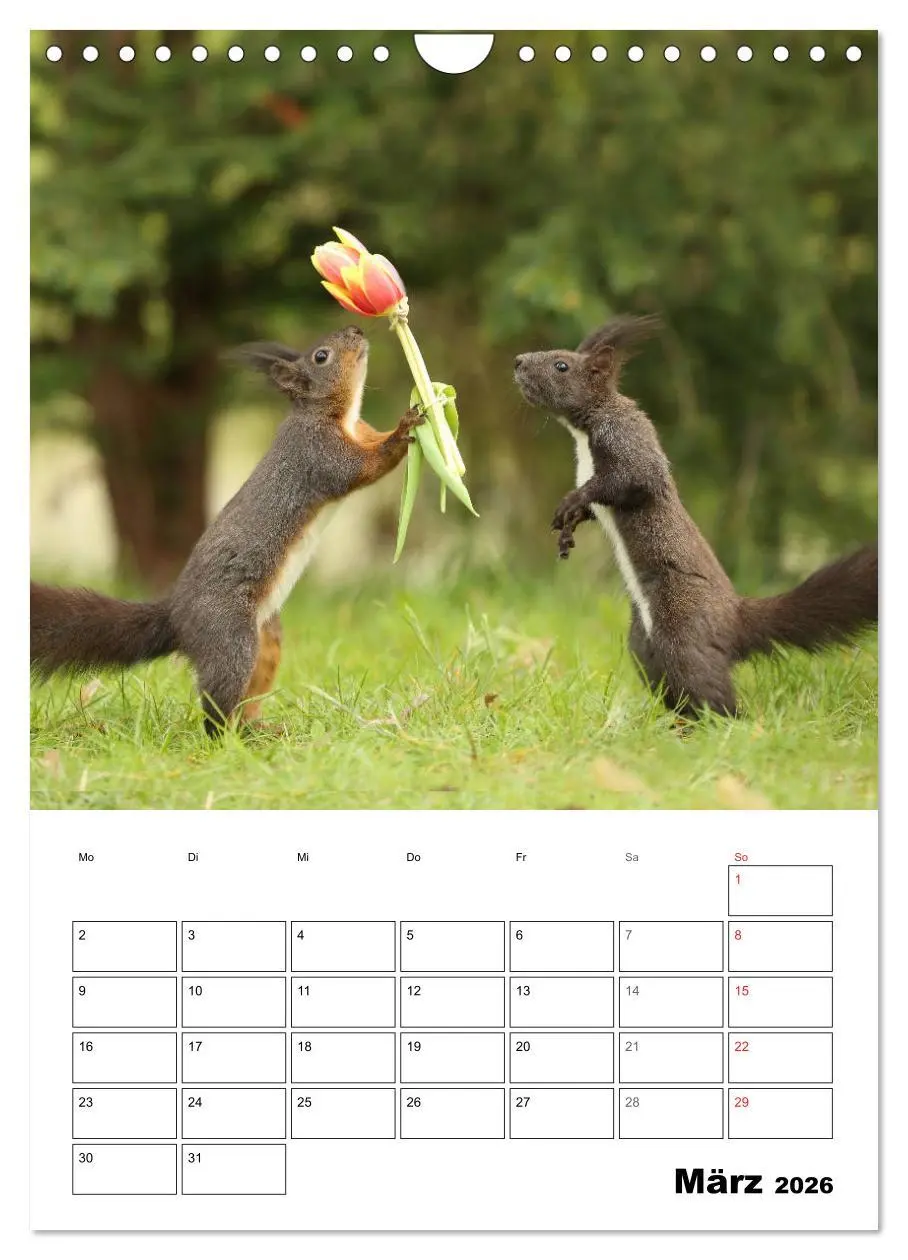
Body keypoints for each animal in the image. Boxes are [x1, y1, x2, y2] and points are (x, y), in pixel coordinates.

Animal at [31, 324, 423, 734]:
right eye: (322, 356)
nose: (356, 329)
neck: (339, 416)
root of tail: (178, 617)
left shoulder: (360, 432)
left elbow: (373, 442)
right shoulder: (319, 454)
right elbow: (364, 467)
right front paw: (404, 430)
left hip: (267, 639)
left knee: (245, 698)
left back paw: (257, 729)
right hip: (231, 639)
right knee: (217, 705)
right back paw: (226, 736)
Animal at [513, 314, 878, 717]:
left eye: (561, 365)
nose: (517, 361)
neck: (584, 431)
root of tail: (734, 620)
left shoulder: (628, 440)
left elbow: (632, 478)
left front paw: (571, 502)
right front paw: (569, 526)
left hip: (682, 630)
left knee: (707, 689)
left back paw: (727, 723)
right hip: (644, 646)